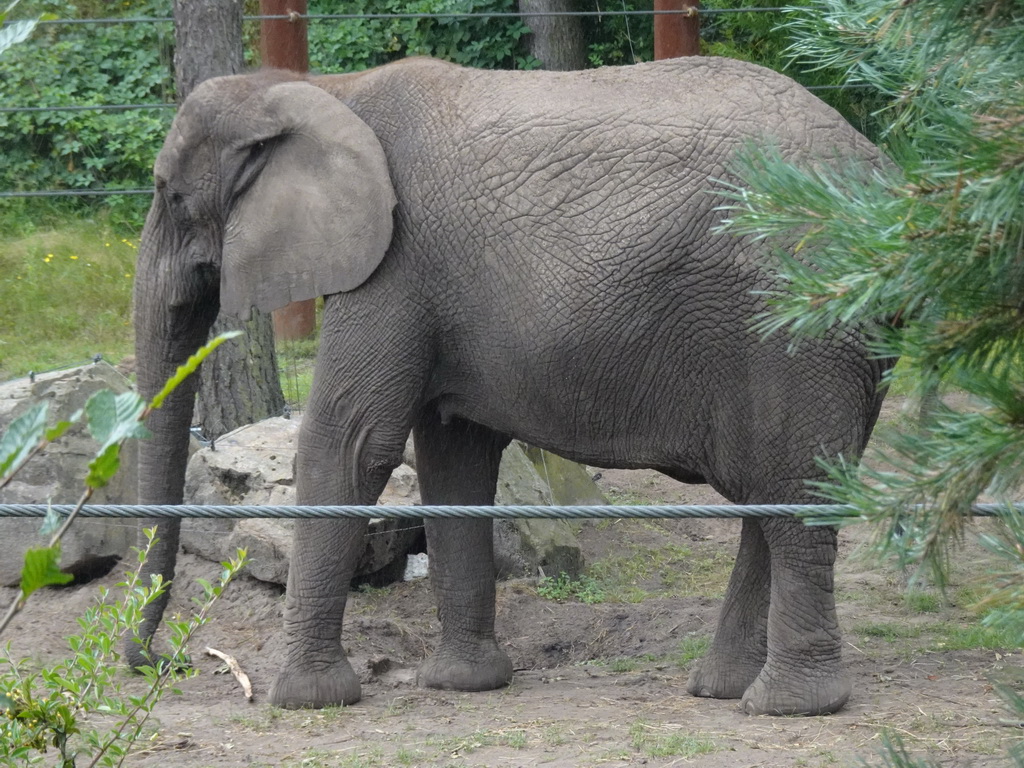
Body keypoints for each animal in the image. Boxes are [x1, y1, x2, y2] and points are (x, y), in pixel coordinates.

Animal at [132, 57, 892, 720]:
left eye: (170, 194)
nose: (163, 660)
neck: (320, 88)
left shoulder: (393, 266)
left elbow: (349, 443)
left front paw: (303, 699)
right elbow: (453, 456)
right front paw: (463, 684)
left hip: (797, 322)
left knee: (790, 492)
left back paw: (787, 705)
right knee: (769, 489)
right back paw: (721, 687)